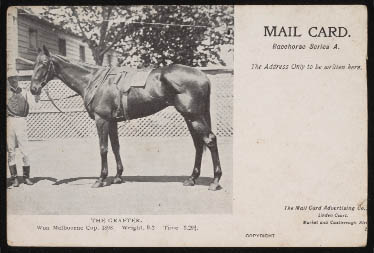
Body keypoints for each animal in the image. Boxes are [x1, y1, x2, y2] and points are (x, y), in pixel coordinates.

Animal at [30, 46, 222, 191]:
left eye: (44, 63)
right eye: (35, 63)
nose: (33, 89)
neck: (94, 80)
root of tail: (203, 76)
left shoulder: (101, 120)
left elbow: (103, 148)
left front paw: (100, 179)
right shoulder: (112, 122)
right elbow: (116, 147)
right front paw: (117, 176)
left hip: (193, 116)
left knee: (210, 140)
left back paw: (215, 181)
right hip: (190, 118)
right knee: (199, 144)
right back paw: (191, 178)